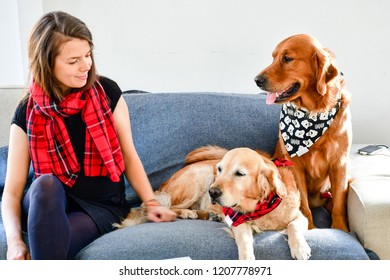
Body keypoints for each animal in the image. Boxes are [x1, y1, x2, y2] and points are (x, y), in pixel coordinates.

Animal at [116, 144, 310, 260]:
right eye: (220, 169)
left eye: (239, 173)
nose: (213, 192)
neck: (260, 206)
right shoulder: (236, 220)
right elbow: (244, 240)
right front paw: (247, 259)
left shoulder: (300, 217)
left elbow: (292, 226)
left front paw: (300, 248)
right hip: (198, 179)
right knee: (170, 207)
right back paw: (188, 212)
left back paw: (209, 214)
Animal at [254, 32, 352, 231]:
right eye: (273, 57)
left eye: (287, 58)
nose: (257, 80)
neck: (313, 111)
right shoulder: (294, 165)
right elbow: (303, 204)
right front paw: (309, 228)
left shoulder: (340, 163)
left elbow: (339, 202)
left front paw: (340, 229)